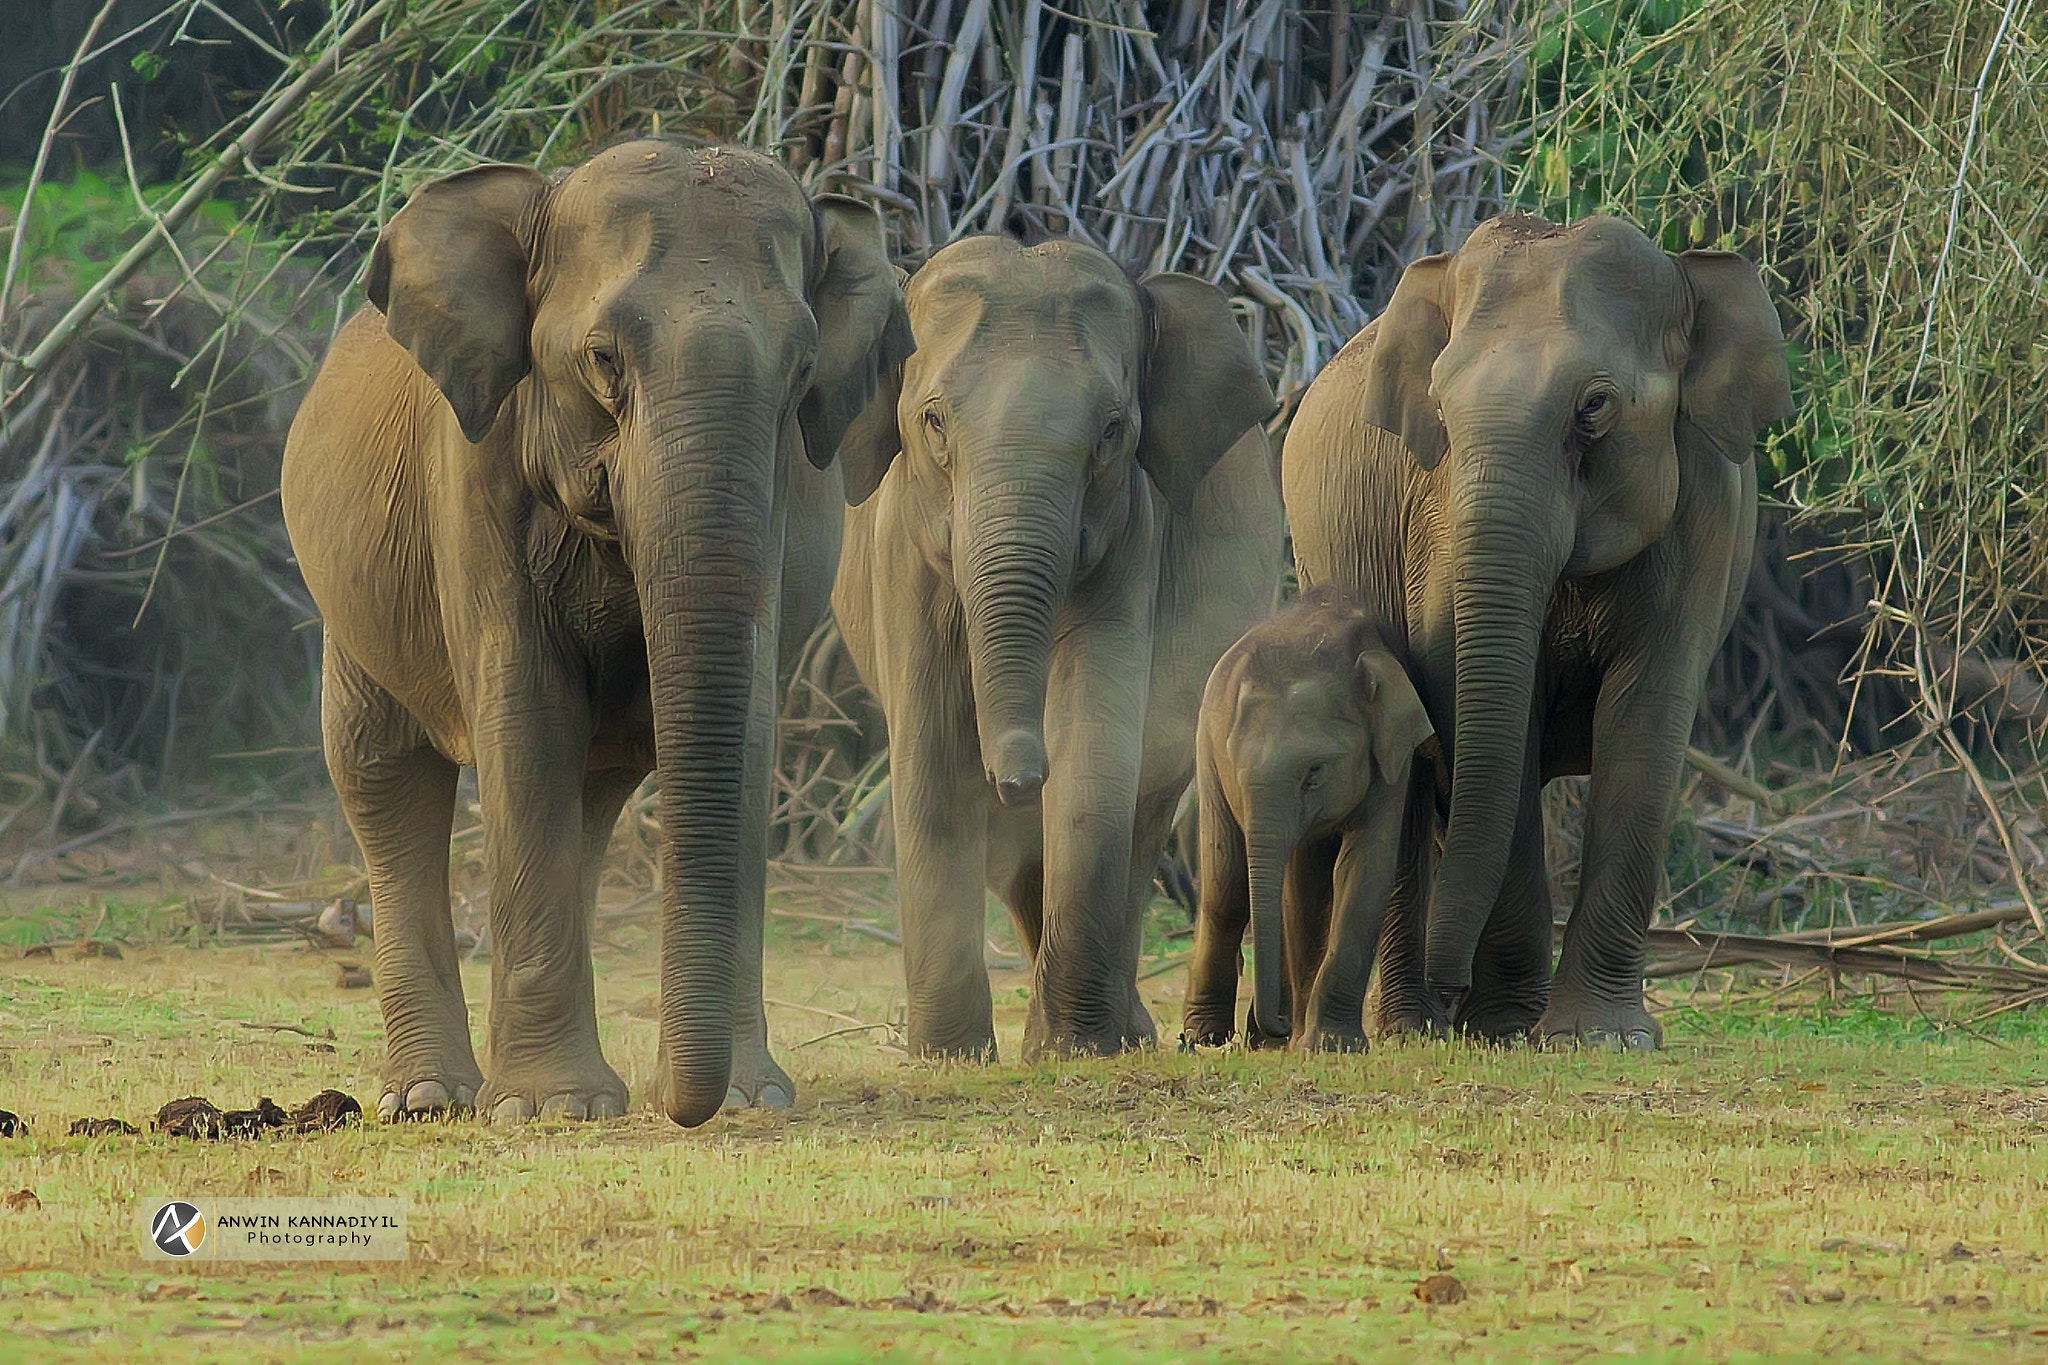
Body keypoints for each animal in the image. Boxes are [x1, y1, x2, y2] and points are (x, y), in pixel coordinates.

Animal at [282, 144, 913, 1129]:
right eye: (602, 358)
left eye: (803, 370)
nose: (679, 1107)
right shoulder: (472, 475)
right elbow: (526, 716)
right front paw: (552, 1109)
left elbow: (746, 730)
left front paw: (750, 1098)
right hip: (350, 600)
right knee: (382, 771)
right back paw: (431, 1097)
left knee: (584, 795)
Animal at [827, 235, 1277, 1064]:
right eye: (932, 421)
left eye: (1111, 430)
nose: (1018, 775)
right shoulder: (900, 548)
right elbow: (931, 752)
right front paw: (949, 1057)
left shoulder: (1135, 534)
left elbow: (1094, 746)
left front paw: (1072, 1052)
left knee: (1144, 809)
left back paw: (1121, 1035)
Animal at [1179, 589, 1433, 1055]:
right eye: (1238, 774)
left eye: (1314, 771)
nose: (1281, 1024)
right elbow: (1302, 887)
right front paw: (1305, 1040)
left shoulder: (1392, 758)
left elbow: (1363, 870)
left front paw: (1327, 1042)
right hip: (1205, 747)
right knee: (1227, 886)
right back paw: (1203, 1036)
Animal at [1286, 215, 1785, 1047]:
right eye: (1441, 409)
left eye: (1594, 405)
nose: (1454, 992)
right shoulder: (1436, 519)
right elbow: (1489, 724)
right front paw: (1507, 1029)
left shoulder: (1705, 508)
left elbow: (1647, 719)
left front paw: (1602, 1036)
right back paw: (1412, 1029)